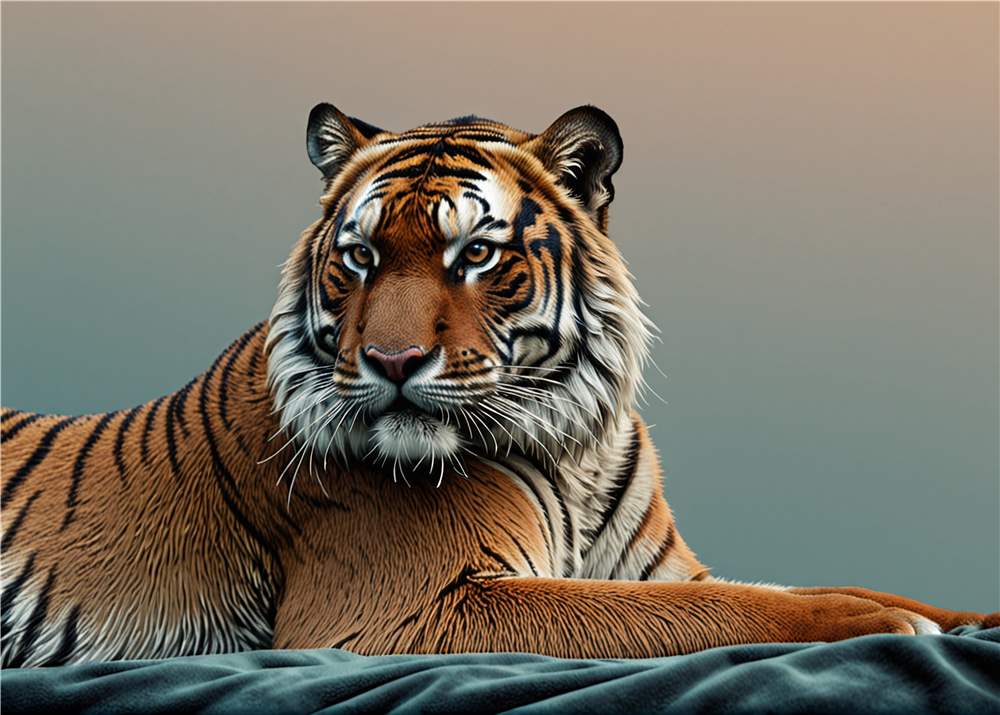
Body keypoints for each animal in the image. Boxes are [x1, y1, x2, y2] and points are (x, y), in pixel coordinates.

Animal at [2, 103, 995, 668]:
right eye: (360, 258)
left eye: (474, 254)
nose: (392, 362)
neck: (573, 440)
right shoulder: (418, 610)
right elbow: (714, 609)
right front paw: (881, 624)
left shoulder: (655, 563)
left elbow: (787, 585)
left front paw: (960, 616)